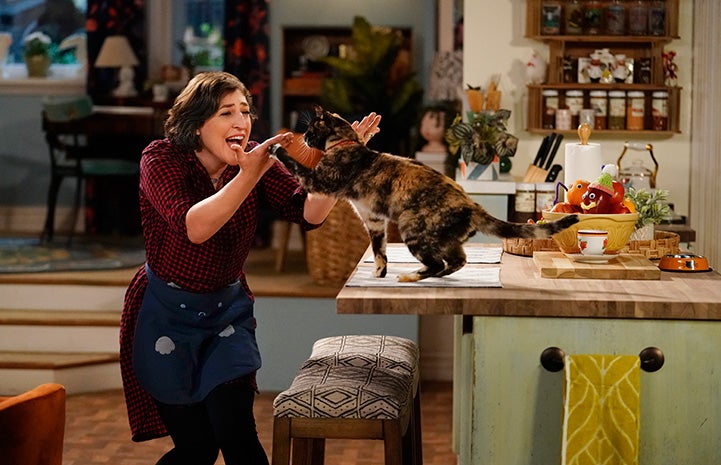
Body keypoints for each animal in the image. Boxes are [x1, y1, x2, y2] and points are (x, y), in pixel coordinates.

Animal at [272, 107, 580, 280]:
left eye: (311, 128)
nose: (305, 138)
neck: (346, 144)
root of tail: (472, 205)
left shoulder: (317, 181)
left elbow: (293, 164)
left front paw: (276, 148)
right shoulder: (373, 219)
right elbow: (379, 250)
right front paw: (379, 273)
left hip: (412, 228)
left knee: (437, 262)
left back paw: (413, 275)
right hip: (445, 239)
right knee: (458, 260)